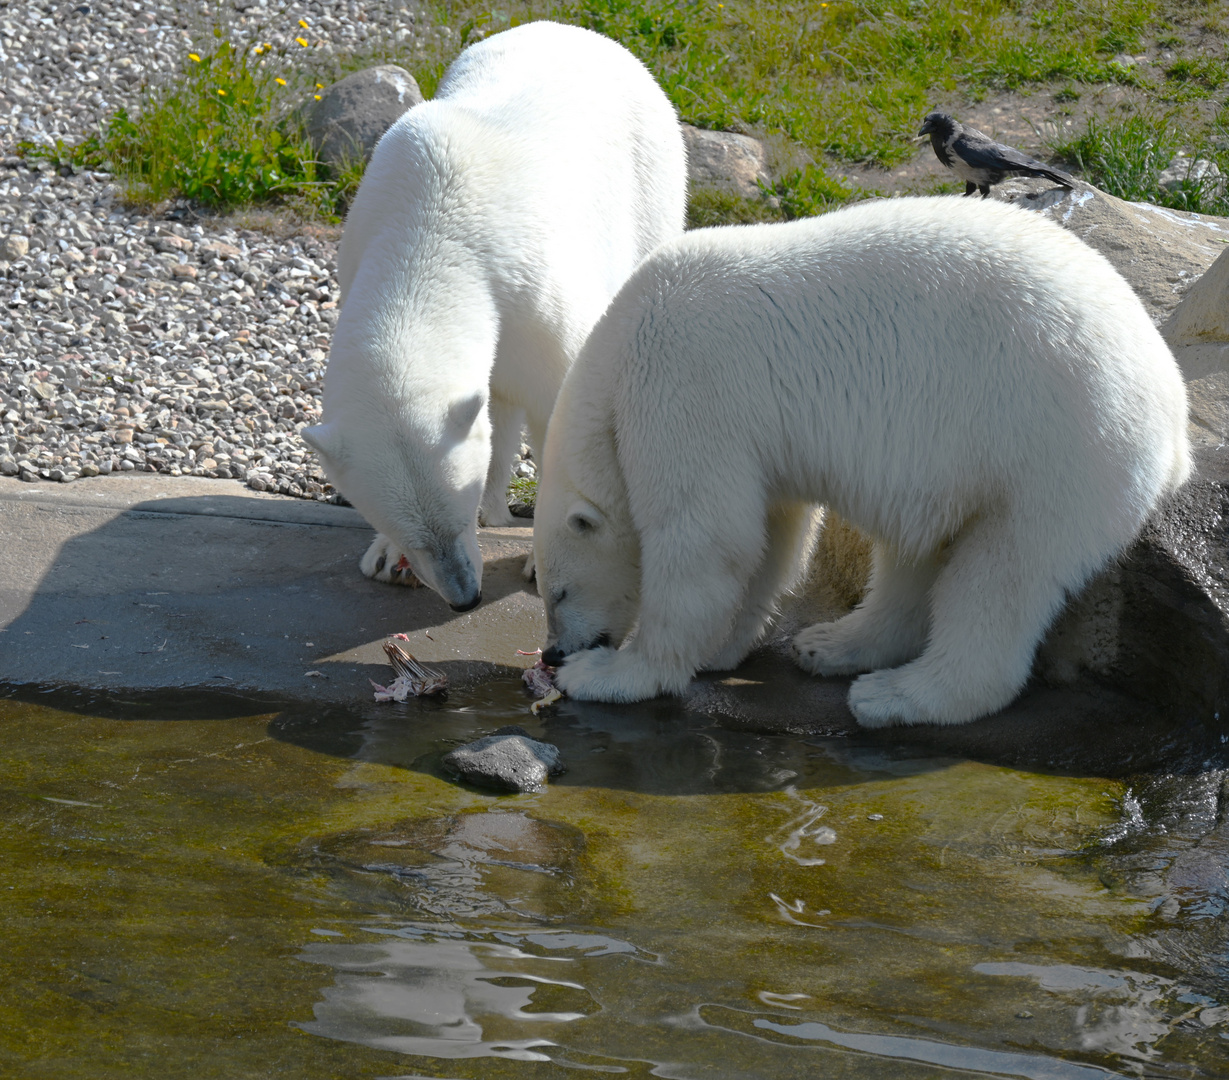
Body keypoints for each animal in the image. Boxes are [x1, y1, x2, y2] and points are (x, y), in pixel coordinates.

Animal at [301, 19, 688, 609]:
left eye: (456, 519)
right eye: (412, 534)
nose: (464, 596)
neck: (431, 224)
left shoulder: (534, 294)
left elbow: (561, 402)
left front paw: (544, 560)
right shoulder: (363, 236)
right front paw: (387, 558)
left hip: (653, 182)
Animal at [535, 199, 1189, 732]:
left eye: (558, 592)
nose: (552, 653)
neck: (622, 343)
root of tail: (1174, 420)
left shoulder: (682, 385)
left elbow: (705, 537)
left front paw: (611, 674)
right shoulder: (751, 434)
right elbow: (771, 532)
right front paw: (721, 647)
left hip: (1057, 450)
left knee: (1003, 571)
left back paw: (895, 694)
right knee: (919, 553)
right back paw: (831, 644)